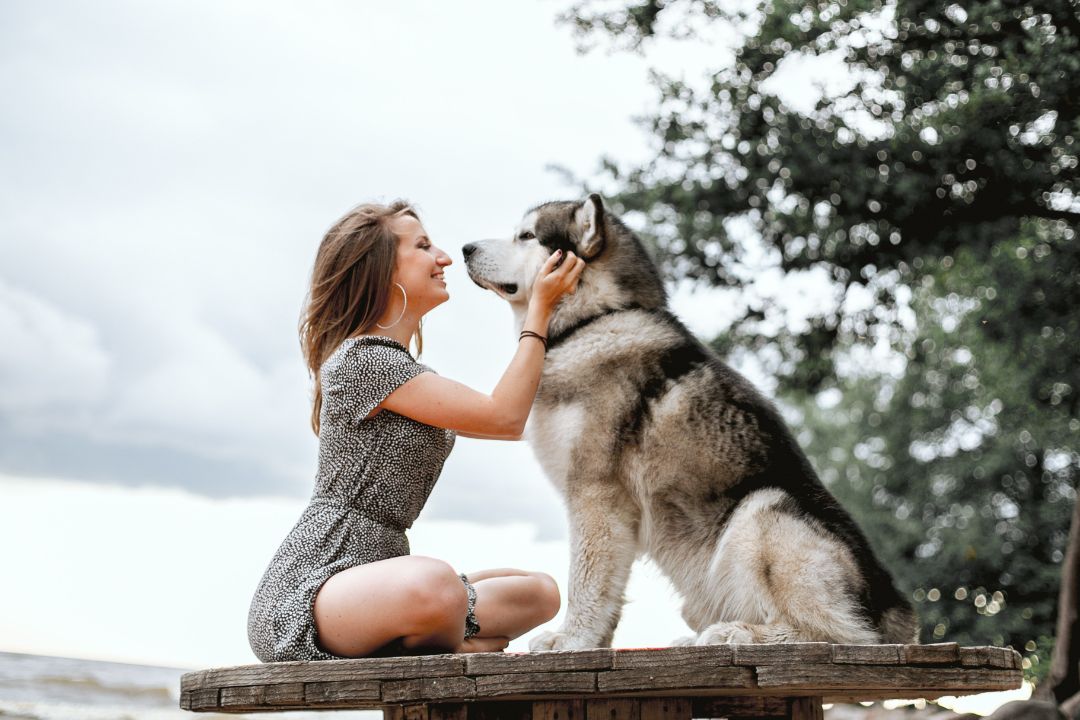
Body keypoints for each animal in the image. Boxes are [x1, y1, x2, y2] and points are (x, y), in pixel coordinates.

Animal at [460, 194, 915, 651]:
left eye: (526, 236)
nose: (465, 249)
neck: (595, 320)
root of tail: (898, 611)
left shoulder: (596, 494)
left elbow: (586, 581)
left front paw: (574, 639)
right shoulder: (613, 513)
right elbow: (609, 588)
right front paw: (595, 642)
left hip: (763, 509)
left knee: (839, 634)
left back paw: (739, 633)